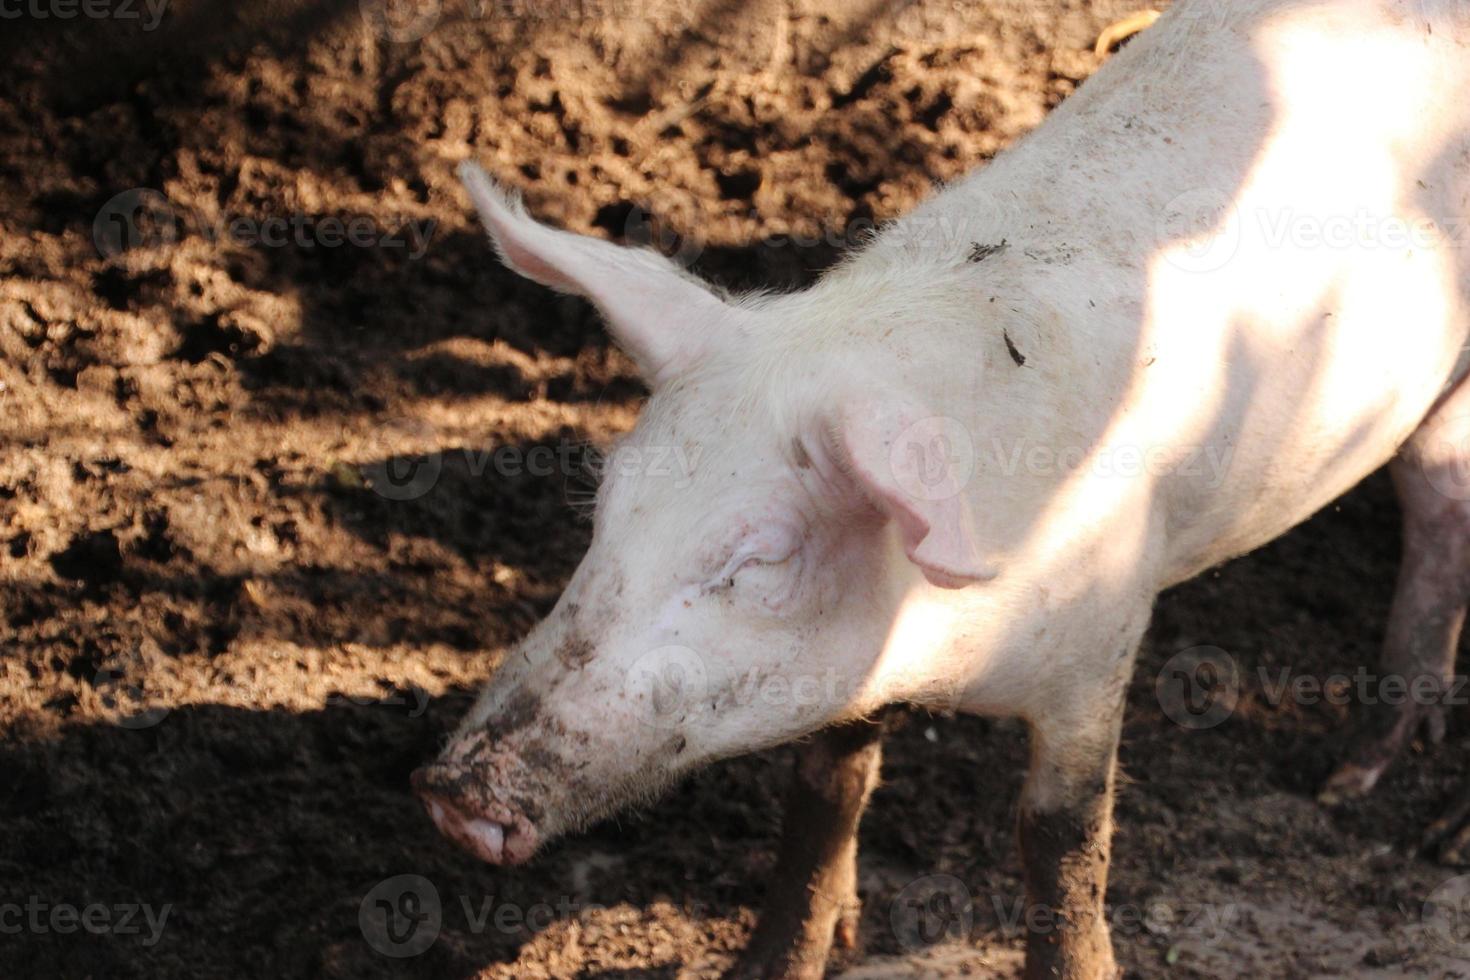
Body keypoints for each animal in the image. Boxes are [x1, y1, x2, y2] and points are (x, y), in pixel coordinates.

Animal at [411, 3, 1470, 975]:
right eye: (606, 512)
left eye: (759, 558)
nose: (453, 795)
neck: (946, 652)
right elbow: (826, 793)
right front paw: (779, 960)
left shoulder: (1105, 634)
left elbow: (1062, 846)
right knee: (1438, 506)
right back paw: (1351, 776)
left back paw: (1401, 819)